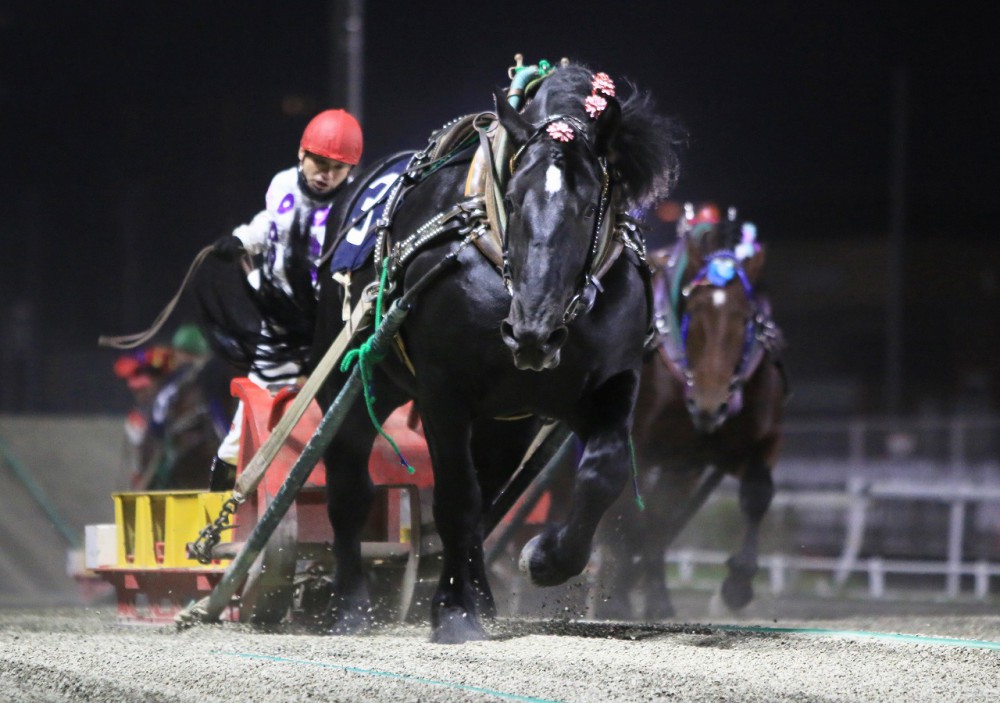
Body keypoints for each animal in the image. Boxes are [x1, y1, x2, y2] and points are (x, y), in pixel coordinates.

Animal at [306, 66, 680, 644]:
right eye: (516, 196)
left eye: (588, 205)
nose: (533, 335)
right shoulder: (443, 394)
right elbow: (456, 499)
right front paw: (452, 613)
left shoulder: (610, 384)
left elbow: (603, 473)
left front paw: (545, 559)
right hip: (359, 378)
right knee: (350, 483)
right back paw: (350, 607)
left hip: (507, 421)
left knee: (488, 491)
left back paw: (480, 592)